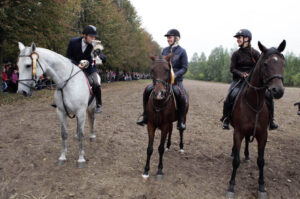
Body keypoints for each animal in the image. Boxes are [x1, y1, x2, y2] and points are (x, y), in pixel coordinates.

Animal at [227, 39, 286, 198]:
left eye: (283, 63)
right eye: (265, 64)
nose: (278, 91)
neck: (254, 102)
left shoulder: (262, 135)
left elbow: (261, 161)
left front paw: (261, 187)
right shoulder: (238, 132)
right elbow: (236, 161)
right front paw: (231, 186)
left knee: (248, 141)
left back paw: (247, 156)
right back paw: (234, 152)